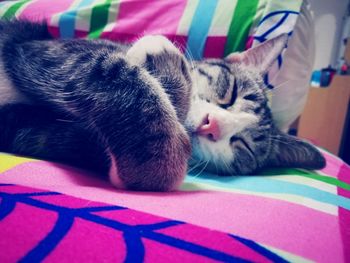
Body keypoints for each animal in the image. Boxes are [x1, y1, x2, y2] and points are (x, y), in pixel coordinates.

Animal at [0, 20, 326, 192]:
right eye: (231, 92)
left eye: (241, 145)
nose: (212, 124)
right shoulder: (45, 50)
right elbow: (109, 67)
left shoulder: (25, 129)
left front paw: (150, 163)